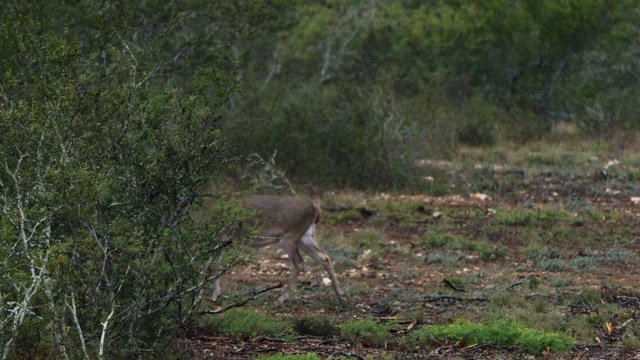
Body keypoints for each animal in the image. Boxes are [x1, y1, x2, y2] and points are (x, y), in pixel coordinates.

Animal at [209, 194, 344, 304]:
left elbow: (214, 264)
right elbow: (212, 264)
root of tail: (315, 207)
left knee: (299, 263)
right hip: (304, 236)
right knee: (324, 257)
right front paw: (215, 293)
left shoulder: (223, 236)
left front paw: (214, 294)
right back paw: (340, 295)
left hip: (289, 236)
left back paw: (282, 298)